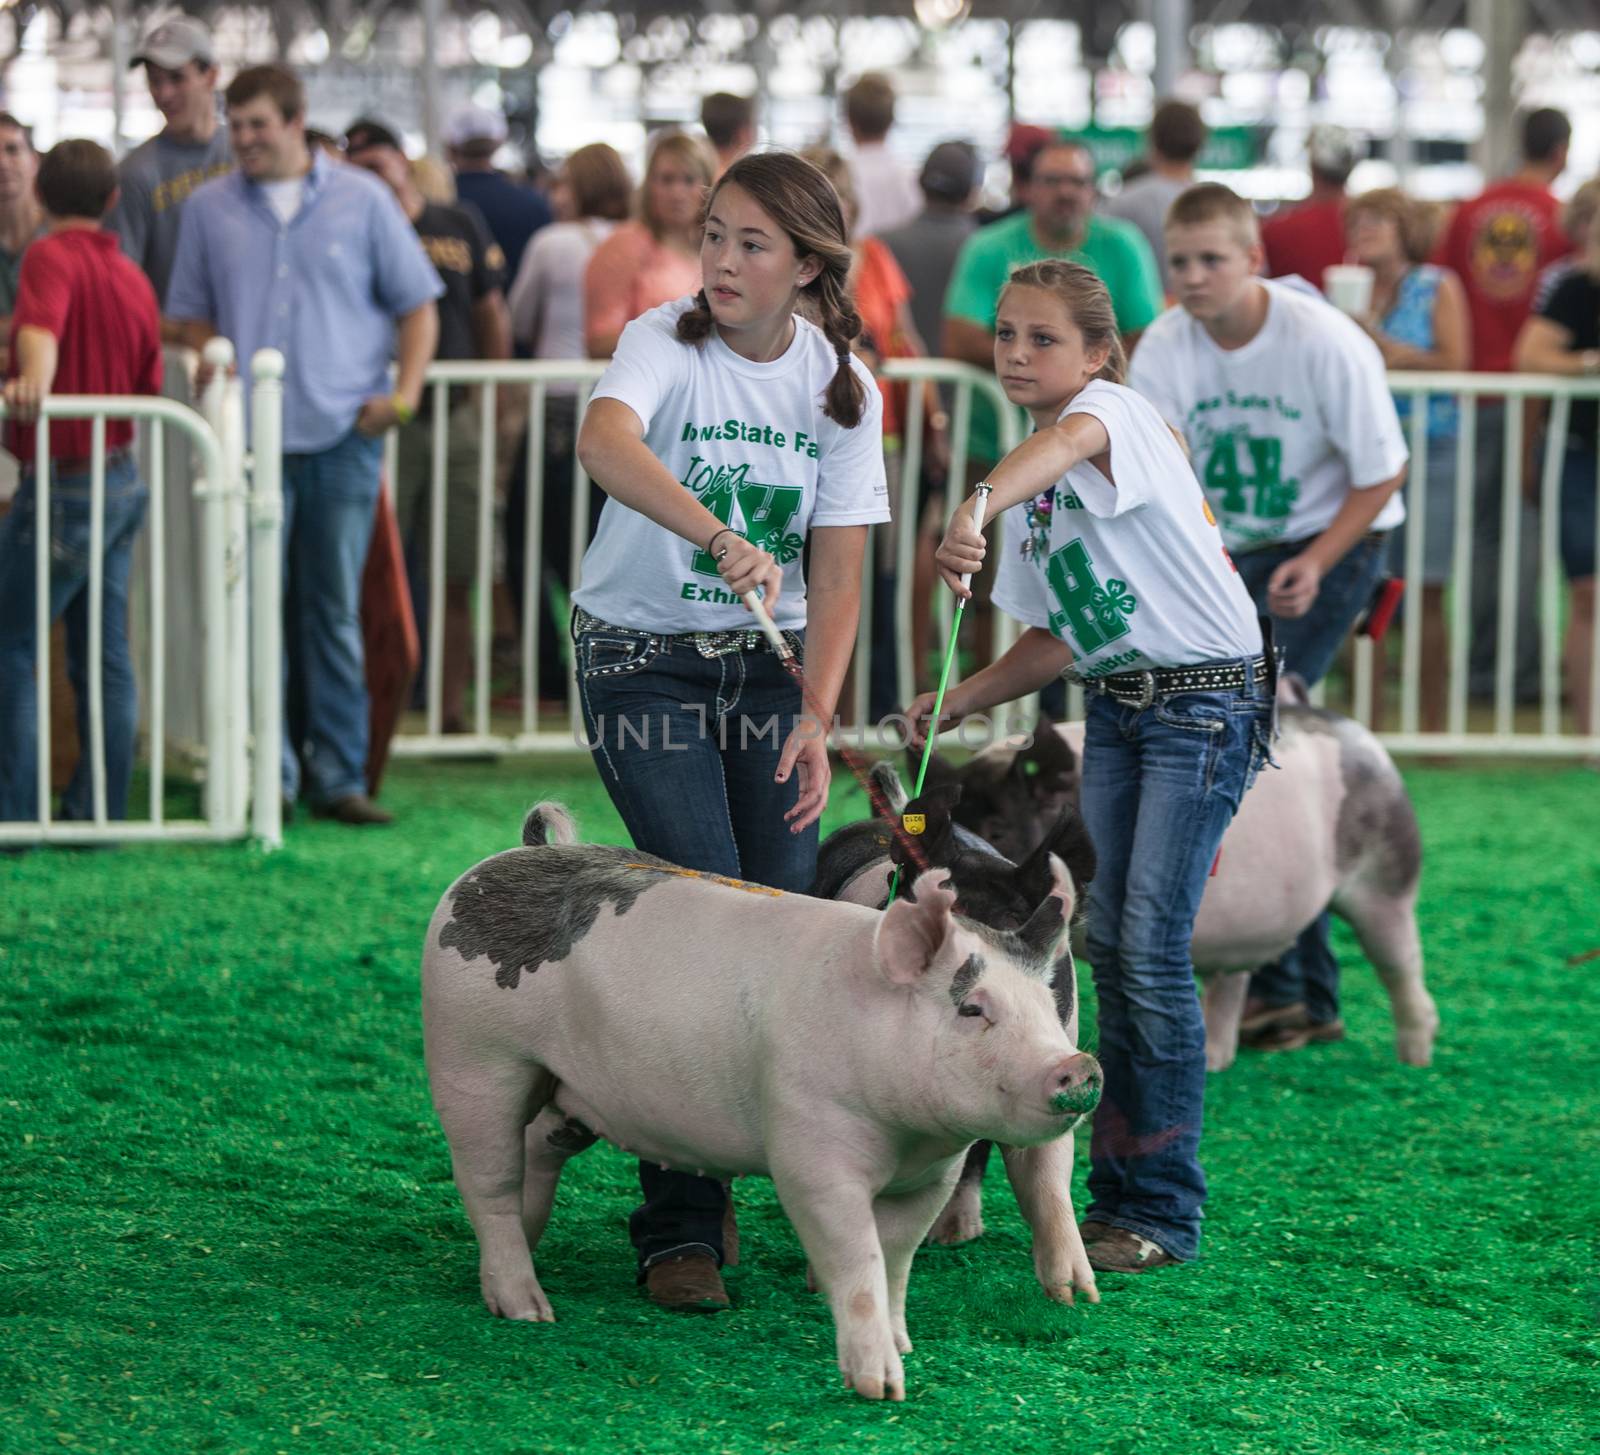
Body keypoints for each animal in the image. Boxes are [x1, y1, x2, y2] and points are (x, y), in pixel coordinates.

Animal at [419, 800, 1107, 1402]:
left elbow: (895, 1260)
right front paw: (882, 1388)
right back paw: (529, 1311)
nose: (1080, 1065)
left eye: (1049, 1004)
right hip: (473, 1057)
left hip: (569, 1089)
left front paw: (906, 1345)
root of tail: (516, 854)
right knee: (488, 1179)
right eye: (972, 1008)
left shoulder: (931, 1177)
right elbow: (855, 1259)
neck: (905, 1135)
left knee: (538, 1148)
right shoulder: (810, 1153)